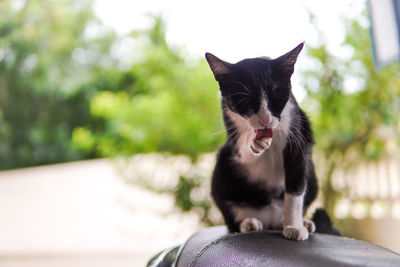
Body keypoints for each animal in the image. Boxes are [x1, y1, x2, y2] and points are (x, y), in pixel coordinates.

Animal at [206, 43, 318, 242]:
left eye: (277, 95)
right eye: (244, 100)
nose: (265, 120)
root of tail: (270, 221)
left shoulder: (297, 132)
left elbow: (296, 187)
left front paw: (294, 226)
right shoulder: (229, 119)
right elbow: (241, 149)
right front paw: (253, 143)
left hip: (312, 176)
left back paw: (303, 223)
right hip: (222, 171)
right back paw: (248, 223)